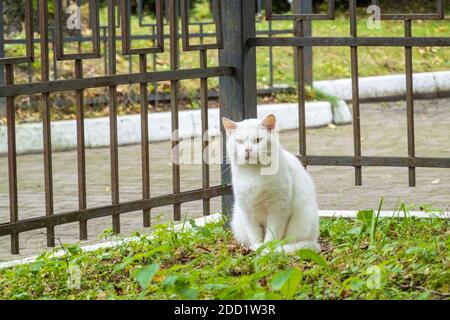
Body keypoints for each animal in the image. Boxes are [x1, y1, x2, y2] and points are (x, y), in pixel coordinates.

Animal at [221, 114, 320, 252]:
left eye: (258, 140)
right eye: (239, 141)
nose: (247, 150)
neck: (254, 173)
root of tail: (315, 241)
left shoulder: (278, 209)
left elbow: (272, 234)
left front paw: (268, 249)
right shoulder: (247, 211)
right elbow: (254, 233)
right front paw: (257, 247)